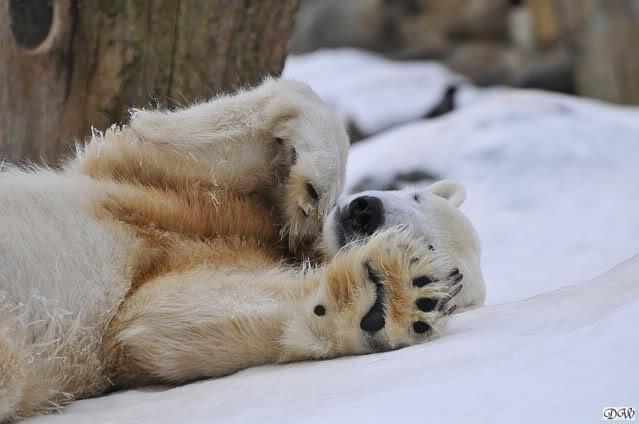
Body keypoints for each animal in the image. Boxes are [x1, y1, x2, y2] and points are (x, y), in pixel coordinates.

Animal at [0, 78, 484, 422]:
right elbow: (176, 152)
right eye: (416, 196)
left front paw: (387, 295)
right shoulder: (171, 196)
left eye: (443, 263)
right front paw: (312, 190)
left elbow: (154, 318)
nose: (366, 211)